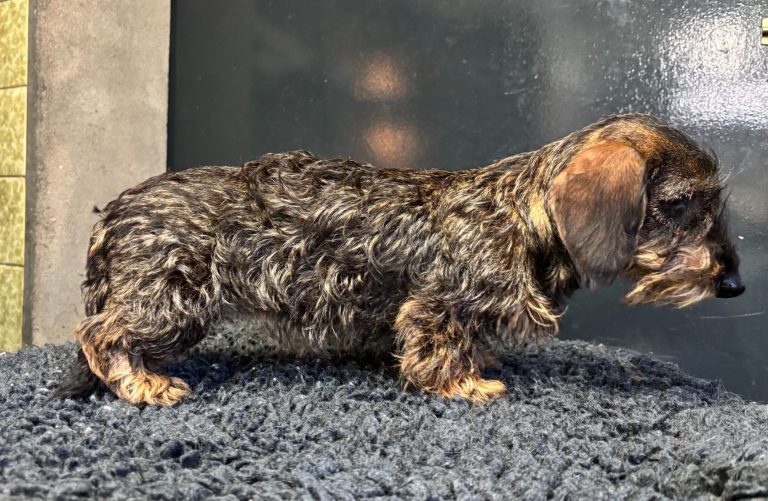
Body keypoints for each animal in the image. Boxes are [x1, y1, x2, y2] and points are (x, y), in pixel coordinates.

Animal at [54, 113, 744, 406]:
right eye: (680, 204)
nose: (735, 284)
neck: (520, 214)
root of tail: (114, 214)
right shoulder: (436, 307)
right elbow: (436, 345)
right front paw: (466, 383)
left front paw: (479, 363)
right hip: (169, 299)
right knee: (99, 333)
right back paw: (142, 384)